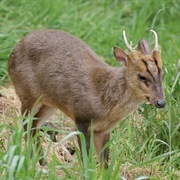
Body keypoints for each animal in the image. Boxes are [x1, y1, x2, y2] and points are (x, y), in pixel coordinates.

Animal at [8, 28, 166, 168]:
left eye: (162, 73)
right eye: (141, 76)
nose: (161, 102)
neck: (105, 101)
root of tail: (13, 51)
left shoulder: (103, 130)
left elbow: (105, 164)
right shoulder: (81, 118)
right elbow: (86, 158)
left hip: (48, 104)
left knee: (34, 126)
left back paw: (42, 164)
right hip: (27, 94)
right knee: (25, 124)